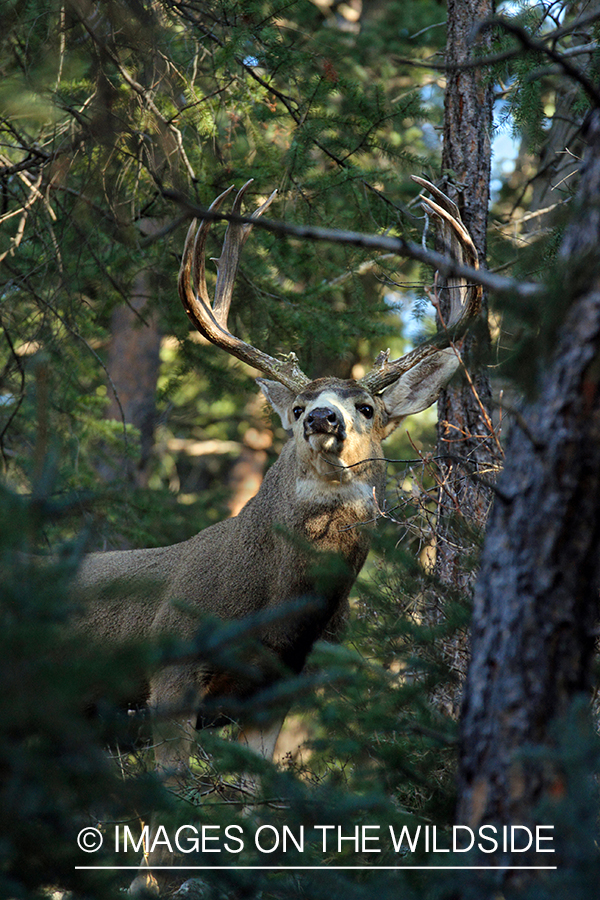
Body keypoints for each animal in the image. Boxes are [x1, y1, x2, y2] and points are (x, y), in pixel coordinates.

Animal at [74, 177, 480, 892]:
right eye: (295, 407)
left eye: (367, 406)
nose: (321, 417)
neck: (270, 610)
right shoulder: (170, 670)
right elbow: (168, 818)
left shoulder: (271, 696)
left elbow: (250, 814)